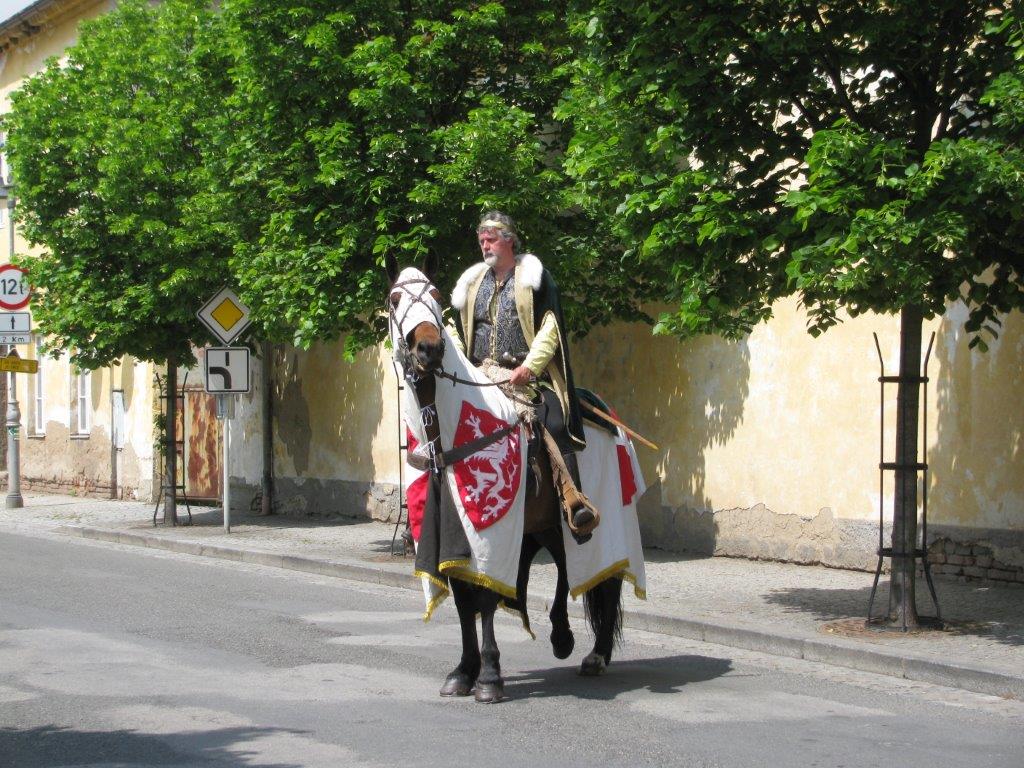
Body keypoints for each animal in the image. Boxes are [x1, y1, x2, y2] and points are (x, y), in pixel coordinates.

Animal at [387, 259, 632, 703]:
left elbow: (484, 598)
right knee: (566, 566)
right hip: (544, 525)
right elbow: (463, 600)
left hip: (607, 525)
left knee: (608, 582)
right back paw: (562, 634)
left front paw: (488, 675)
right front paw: (463, 671)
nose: (428, 348)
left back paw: (597, 655)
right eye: (396, 299)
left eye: (434, 295)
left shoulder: (489, 533)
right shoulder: (448, 531)